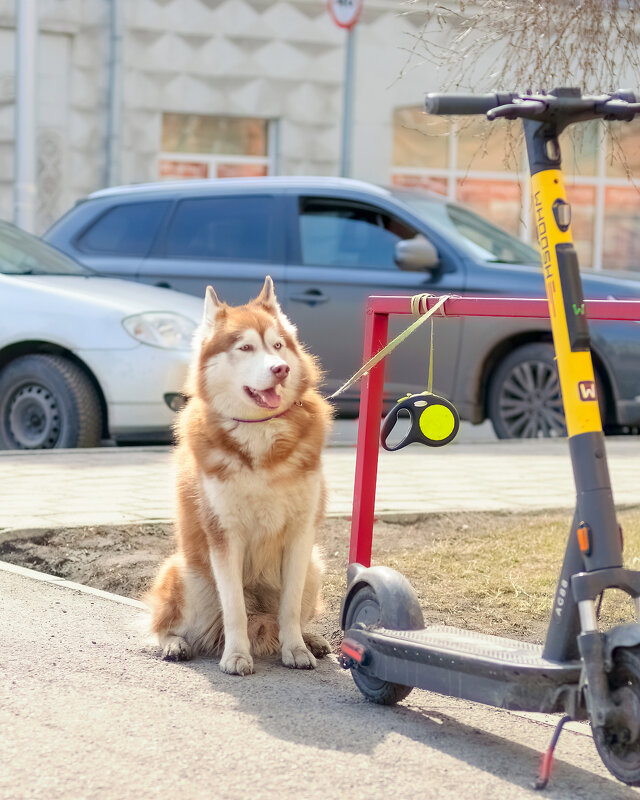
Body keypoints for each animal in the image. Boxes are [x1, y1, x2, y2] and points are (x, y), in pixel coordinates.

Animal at [147, 276, 332, 676]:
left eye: (277, 346)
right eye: (245, 347)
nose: (281, 369)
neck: (260, 434)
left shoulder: (301, 535)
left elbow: (289, 609)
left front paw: (296, 649)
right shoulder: (224, 535)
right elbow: (234, 610)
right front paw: (236, 656)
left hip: (314, 567)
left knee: (286, 615)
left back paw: (310, 639)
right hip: (187, 573)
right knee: (164, 623)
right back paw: (174, 644)